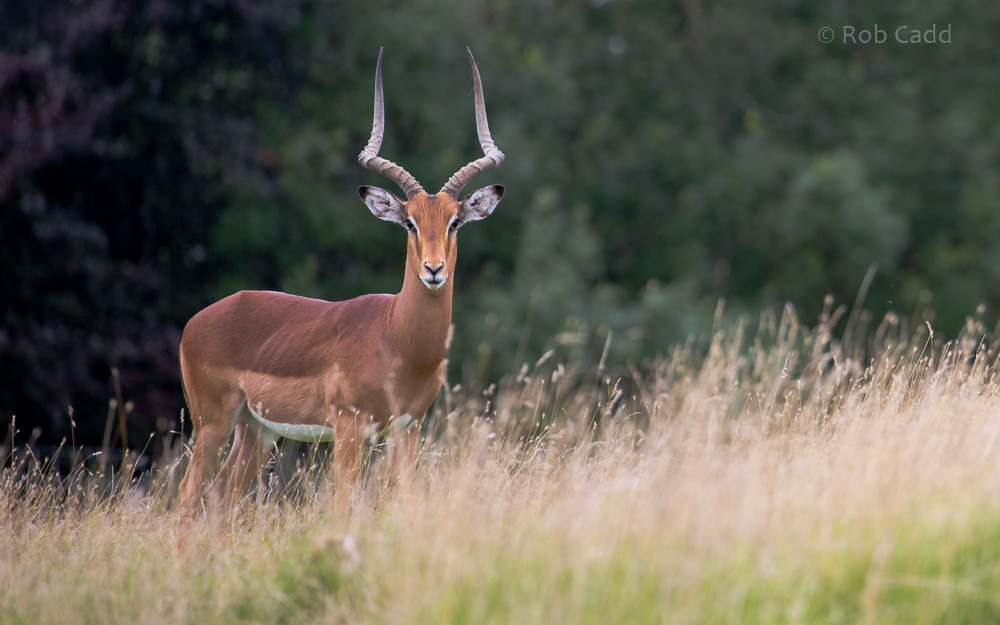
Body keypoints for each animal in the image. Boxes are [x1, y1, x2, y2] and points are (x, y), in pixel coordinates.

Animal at [177, 48, 504, 515]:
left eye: (455, 221)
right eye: (409, 222)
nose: (434, 269)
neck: (397, 338)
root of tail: (197, 321)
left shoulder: (408, 428)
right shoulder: (350, 428)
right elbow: (343, 504)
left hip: (256, 429)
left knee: (223, 494)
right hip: (214, 422)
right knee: (189, 495)